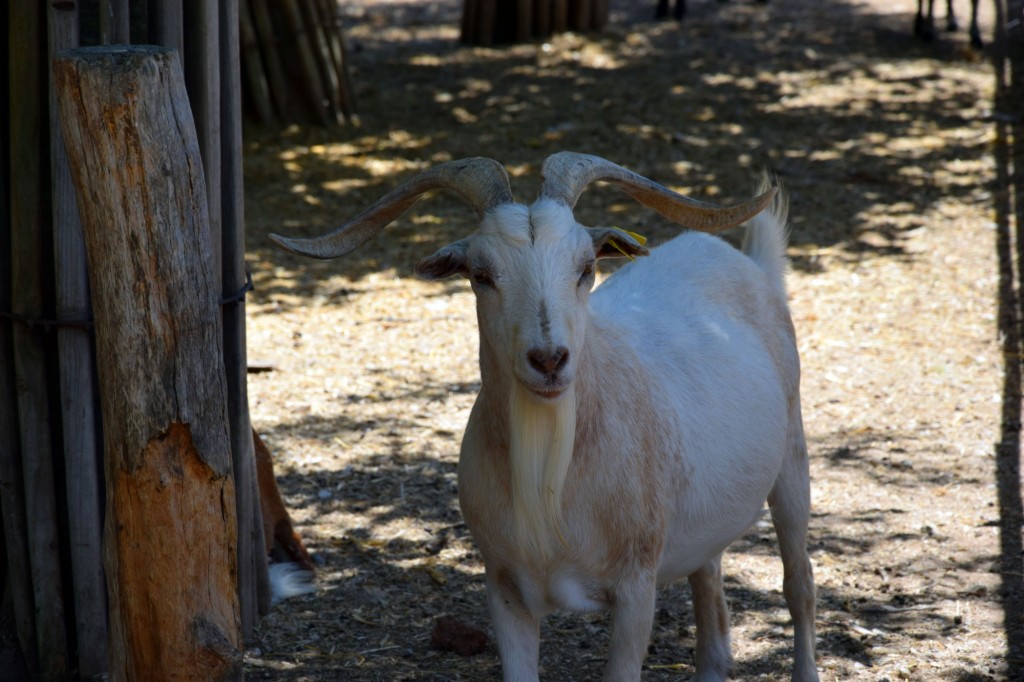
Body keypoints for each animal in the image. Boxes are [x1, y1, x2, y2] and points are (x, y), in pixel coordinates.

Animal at [270, 151, 815, 675]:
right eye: (481, 275)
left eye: (586, 267)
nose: (549, 360)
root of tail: (751, 264)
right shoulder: (504, 587)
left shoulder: (636, 588)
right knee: (710, 591)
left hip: (793, 456)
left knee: (799, 582)